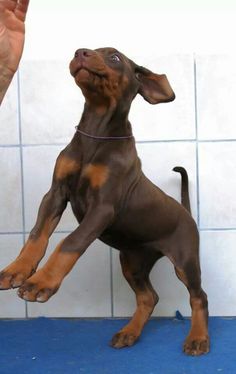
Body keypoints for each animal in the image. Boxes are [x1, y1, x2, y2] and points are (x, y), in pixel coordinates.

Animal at [0, 48, 209, 356]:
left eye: (114, 58)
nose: (80, 52)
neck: (97, 131)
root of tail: (185, 211)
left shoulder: (103, 207)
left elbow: (70, 242)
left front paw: (41, 282)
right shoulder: (56, 193)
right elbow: (37, 235)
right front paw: (17, 270)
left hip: (185, 260)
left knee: (198, 296)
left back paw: (198, 338)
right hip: (133, 261)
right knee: (149, 297)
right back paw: (129, 332)